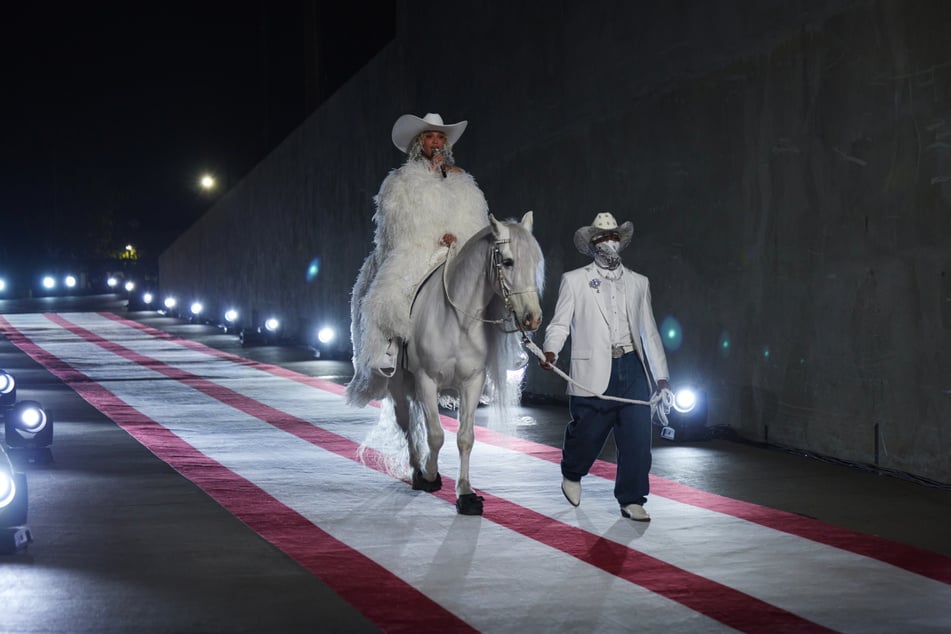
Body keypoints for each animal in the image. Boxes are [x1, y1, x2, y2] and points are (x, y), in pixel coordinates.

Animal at [386, 212, 544, 512]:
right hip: (402, 383)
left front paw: (466, 494)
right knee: (407, 421)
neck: (457, 321)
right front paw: (430, 475)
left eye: (535, 262)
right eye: (508, 261)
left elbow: (465, 438)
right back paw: (416, 470)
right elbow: (436, 434)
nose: (533, 318)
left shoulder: (472, 382)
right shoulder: (426, 380)